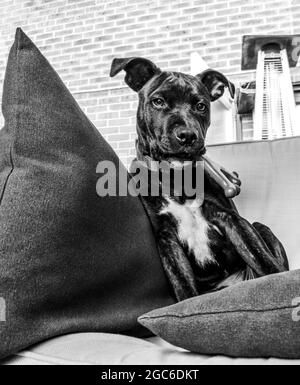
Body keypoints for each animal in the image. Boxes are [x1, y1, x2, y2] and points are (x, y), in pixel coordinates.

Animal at [109, 57, 288, 302]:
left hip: (261, 227)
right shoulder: (166, 239)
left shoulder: (231, 219)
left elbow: (265, 263)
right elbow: (184, 287)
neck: (176, 175)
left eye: (201, 106)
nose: (187, 135)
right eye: (158, 102)